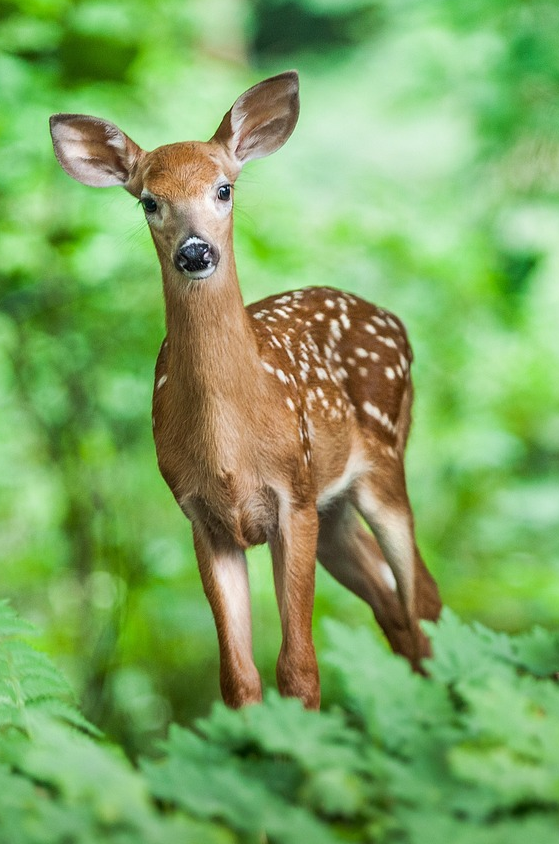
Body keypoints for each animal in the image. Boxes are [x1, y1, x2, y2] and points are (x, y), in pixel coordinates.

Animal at [49, 69, 442, 708]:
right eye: (149, 200)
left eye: (224, 189)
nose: (195, 251)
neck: (231, 446)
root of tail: (393, 320)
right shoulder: (202, 517)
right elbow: (238, 677)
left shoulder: (293, 497)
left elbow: (299, 668)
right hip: (334, 509)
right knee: (393, 606)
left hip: (382, 463)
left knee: (423, 598)